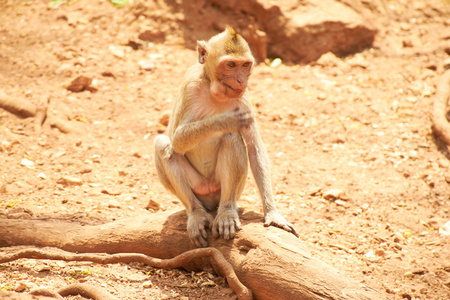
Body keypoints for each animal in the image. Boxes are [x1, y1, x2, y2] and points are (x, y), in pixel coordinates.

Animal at [153, 25, 298, 247]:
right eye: (230, 65)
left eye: (245, 65)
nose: (241, 79)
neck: (214, 90)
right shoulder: (190, 87)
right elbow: (177, 140)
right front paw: (226, 120)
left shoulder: (244, 97)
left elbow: (255, 149)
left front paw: (273, 213)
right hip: (198, 188)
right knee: (163, 144)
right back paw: (196, 213)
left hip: (224, 189)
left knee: (232, 138)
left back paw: (227, 212)